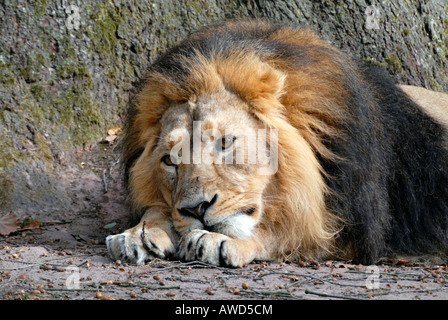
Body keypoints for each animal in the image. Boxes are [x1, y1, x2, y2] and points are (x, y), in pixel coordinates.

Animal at [106, 18, 448, 266]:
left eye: (225, 143)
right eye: (169, 160)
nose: (196, 209)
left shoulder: (354, 232)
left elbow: (287, 233)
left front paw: (219, 241)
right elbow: (155, 210)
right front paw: (139, 233)